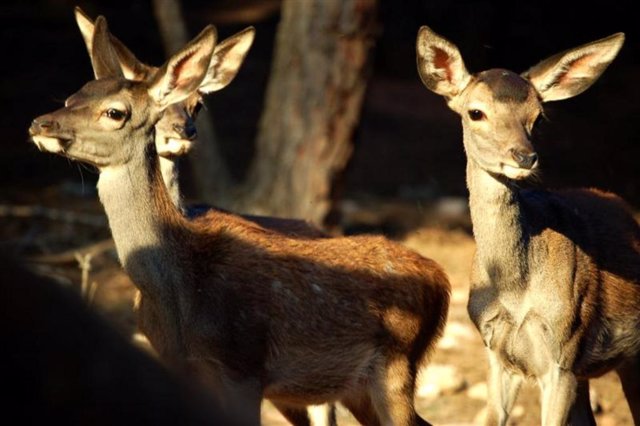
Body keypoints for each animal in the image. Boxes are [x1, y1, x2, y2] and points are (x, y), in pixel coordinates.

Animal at [28, 16, 450, 426]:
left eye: (114, 112)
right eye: (71, 97)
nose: (40, 124)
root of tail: (441, 281)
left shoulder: (243, 363)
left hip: (395, 362)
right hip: (354, 386)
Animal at [416, 25, 640, 424]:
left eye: (538, 116)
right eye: (476, 112)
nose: (524, 156)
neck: (514, 291)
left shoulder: (563, 353)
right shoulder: (497, 351)